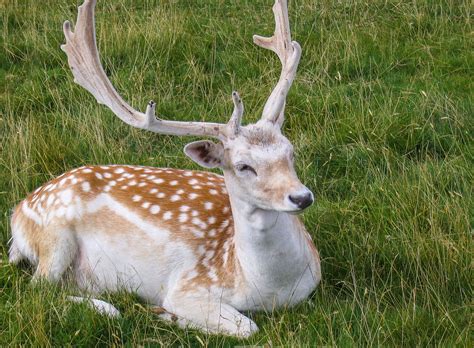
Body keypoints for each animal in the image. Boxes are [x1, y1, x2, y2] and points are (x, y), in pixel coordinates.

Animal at [9, 0, 322, 338]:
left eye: (290, 152)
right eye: (243, 166)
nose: (301, 197)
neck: (270, 288)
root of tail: (18, 211)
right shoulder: (188, 287)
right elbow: (246, 326)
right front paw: (166, 315)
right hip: (53, 236)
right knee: (37, 290)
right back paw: (109, 308)